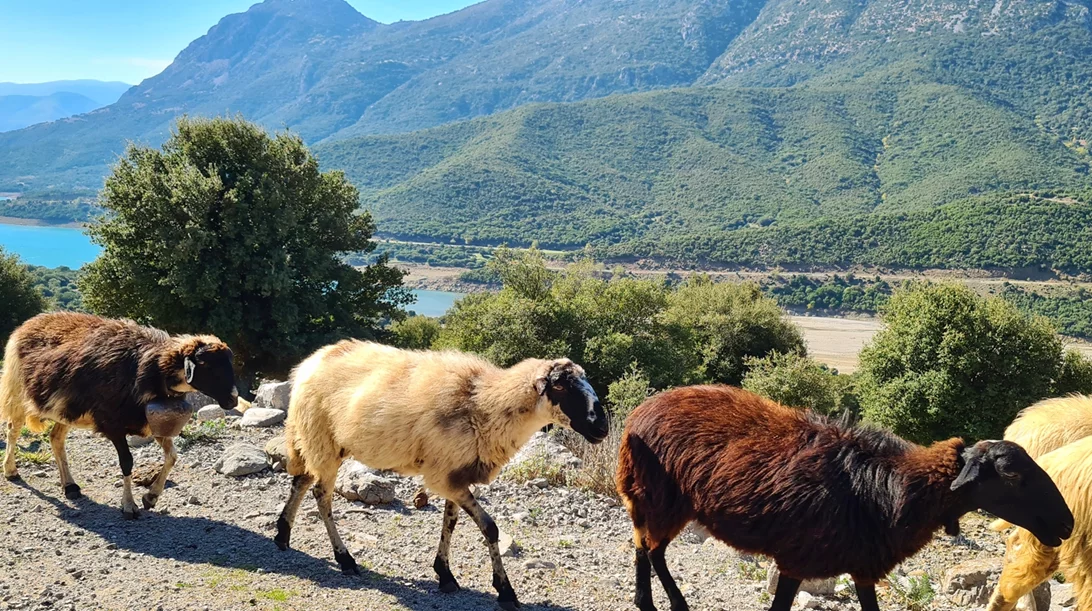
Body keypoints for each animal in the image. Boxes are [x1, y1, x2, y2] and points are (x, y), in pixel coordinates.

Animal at [0, 312, 238, 518]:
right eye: (207, 365)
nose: (233, 400)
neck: (150, 370)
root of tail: (29, 323)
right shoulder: (112, 424)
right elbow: (127, 462)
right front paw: (129, 505)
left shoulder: (151, 421)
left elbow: (172, 456)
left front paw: (150, 497)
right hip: (17, 390)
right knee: (13, 431)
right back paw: (11, 470)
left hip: (66, 409)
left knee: (55, 438)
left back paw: (70, 486)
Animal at [275, 340, 609, 610]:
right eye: (560, 386)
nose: (602, 427)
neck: (485, 405)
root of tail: (310, 362)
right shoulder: (444, 476)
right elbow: (490, 529)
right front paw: (505, 591)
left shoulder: (455, 474)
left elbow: (450, 522)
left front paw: (445, 574)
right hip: (322, 439)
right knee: (321, 495)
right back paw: (344, 559)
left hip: (325, 442)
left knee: (302, 480)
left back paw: (282, 534)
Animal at [615, 385, 1074, 611]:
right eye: (1013, 474)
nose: (1067, 524)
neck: (888, 487)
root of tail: (641, 410)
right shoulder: (797, 559)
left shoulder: (863, 564)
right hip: (658, 496)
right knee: (647, 548)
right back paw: (661, 604)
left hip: (667, 502)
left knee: (650, 549)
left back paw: (660, 603)